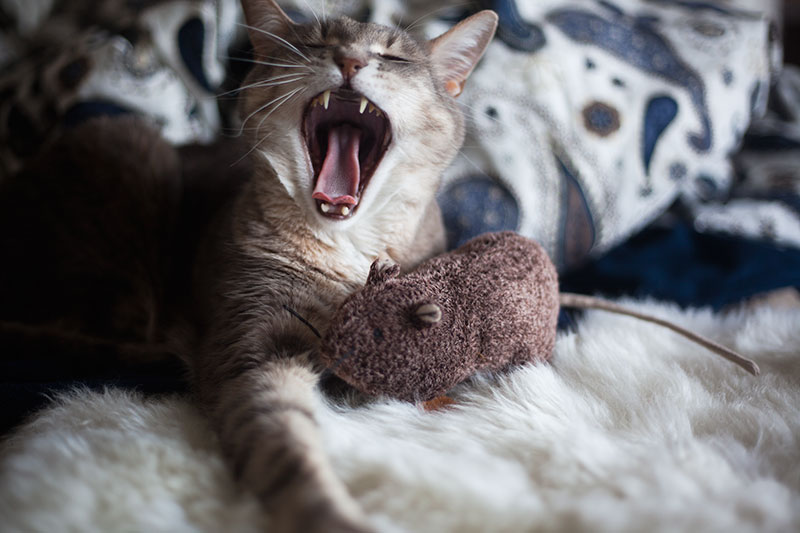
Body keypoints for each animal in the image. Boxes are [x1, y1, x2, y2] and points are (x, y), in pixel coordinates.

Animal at [0, 2, 496, 528]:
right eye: (316, 43)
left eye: (394, 56)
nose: (350, 60)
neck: (348, 249)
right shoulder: (254, 339)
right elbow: (283, 446)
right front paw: (331, 514)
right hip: (129, 149)